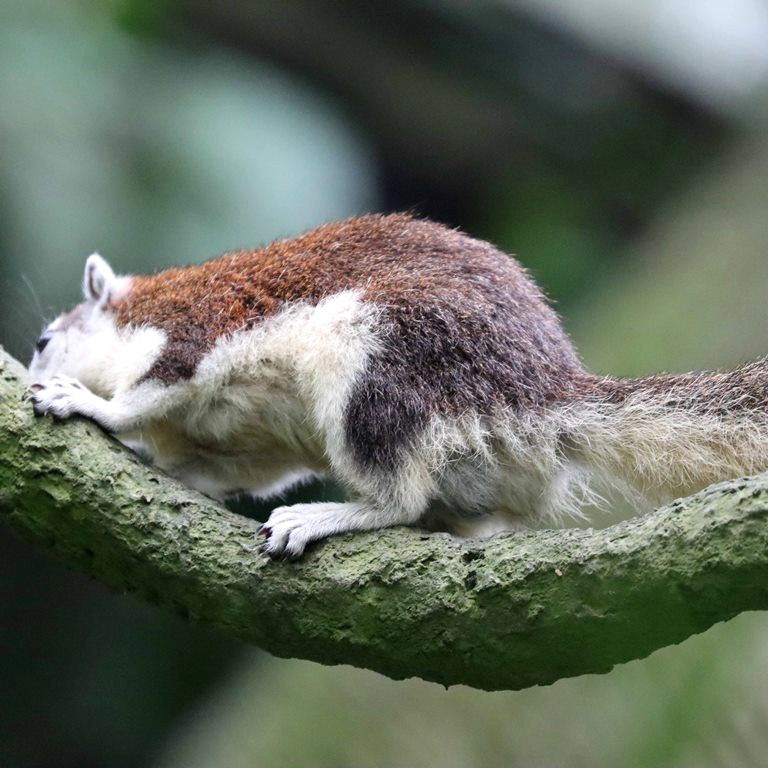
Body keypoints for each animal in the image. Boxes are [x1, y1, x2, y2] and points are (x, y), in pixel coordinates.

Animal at [27, 213, 768, 558]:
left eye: (42, 342)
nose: (31, 364)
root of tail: (542, 394)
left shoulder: (191, 333)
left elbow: (149, 390)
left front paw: (86, 402)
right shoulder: (249, 446)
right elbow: (227, 471)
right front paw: (159, 462)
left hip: (378, 364)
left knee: (399, 499)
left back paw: (323, 516)